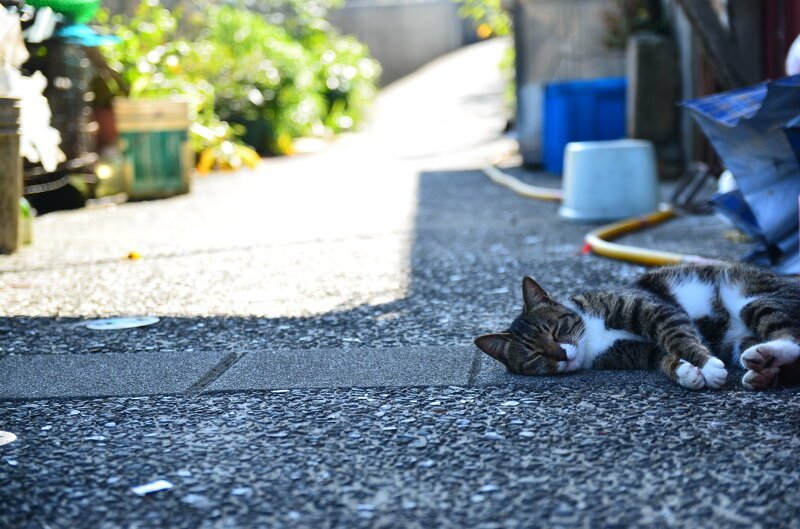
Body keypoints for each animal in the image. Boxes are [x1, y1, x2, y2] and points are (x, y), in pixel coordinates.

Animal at [476, 262, 800, 390]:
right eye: (535, 356)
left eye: (555, 331)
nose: (561, 355)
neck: (592, 335)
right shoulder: (635, 351)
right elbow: (664, 357)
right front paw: (688, 373)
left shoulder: (652, 308)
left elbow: (678, 336)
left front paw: (706, 365)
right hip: (737, 341)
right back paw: (764, 367)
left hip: (755, 301)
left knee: (792, 335)